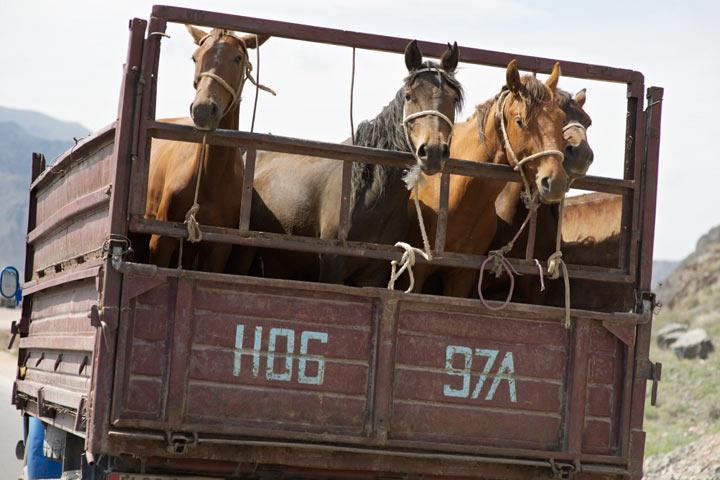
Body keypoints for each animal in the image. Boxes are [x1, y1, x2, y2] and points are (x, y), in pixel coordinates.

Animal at [145, 26, 268, 272]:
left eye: (237, 58)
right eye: (195, 57)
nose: (203, 109)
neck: (210, 178)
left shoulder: (218, 249)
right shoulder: (160, 240)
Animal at [236, 40, 462, 284]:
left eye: (453, 98)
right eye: (409, 96)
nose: (432, 151)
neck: (366, 195)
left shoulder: (374, 274)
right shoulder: (331, 265)